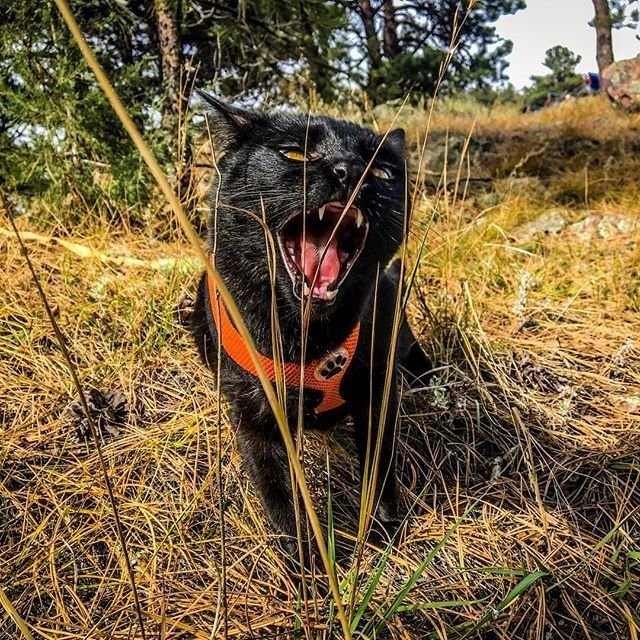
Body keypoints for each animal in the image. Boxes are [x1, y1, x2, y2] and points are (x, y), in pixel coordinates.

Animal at [191, 94, 430, 556]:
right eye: (295, 154)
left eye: (382, 171)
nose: (350, 170)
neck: (307, 343)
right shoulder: (254, 418)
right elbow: (280, 493)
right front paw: (308, 561)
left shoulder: (378, 392)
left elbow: (379, 466)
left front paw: (382, 527)